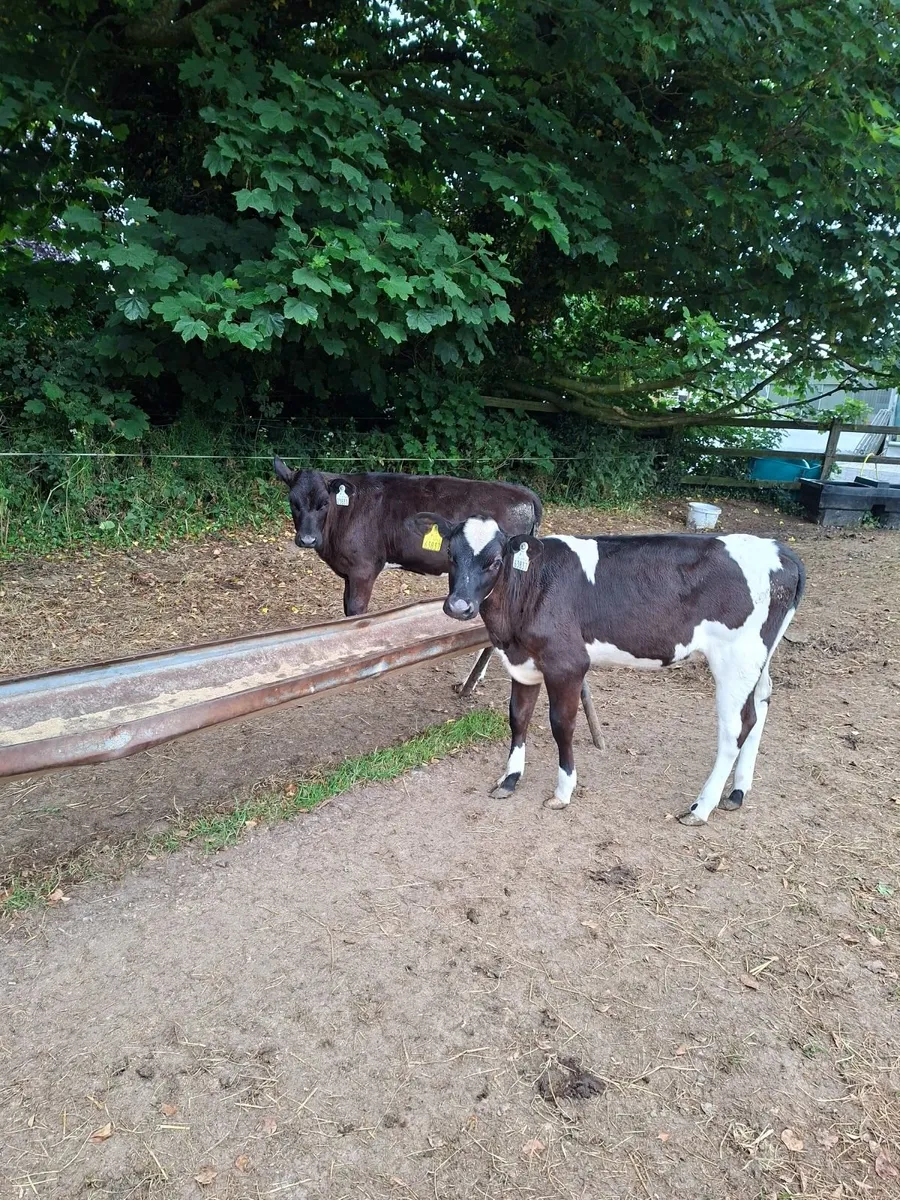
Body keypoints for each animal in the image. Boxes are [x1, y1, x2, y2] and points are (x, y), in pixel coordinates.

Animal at [273, 460, 542, 617]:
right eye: (293, 502)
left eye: (324, 503)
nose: (307, 540)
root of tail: (523, 492)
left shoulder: (363, 570)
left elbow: (356, 612)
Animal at [410, 514, 805, 825]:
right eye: (450, 554)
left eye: (494, 560)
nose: (459, 606)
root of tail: (780, 550)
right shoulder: (524, 661)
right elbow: (518, 717)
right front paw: (510, 779)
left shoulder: (567, 664)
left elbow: (561, 725)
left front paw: (563, 792)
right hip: (758, 660)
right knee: (761, 707)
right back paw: (737, 792)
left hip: (736, 659)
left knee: (735, 728)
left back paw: (701, 807)